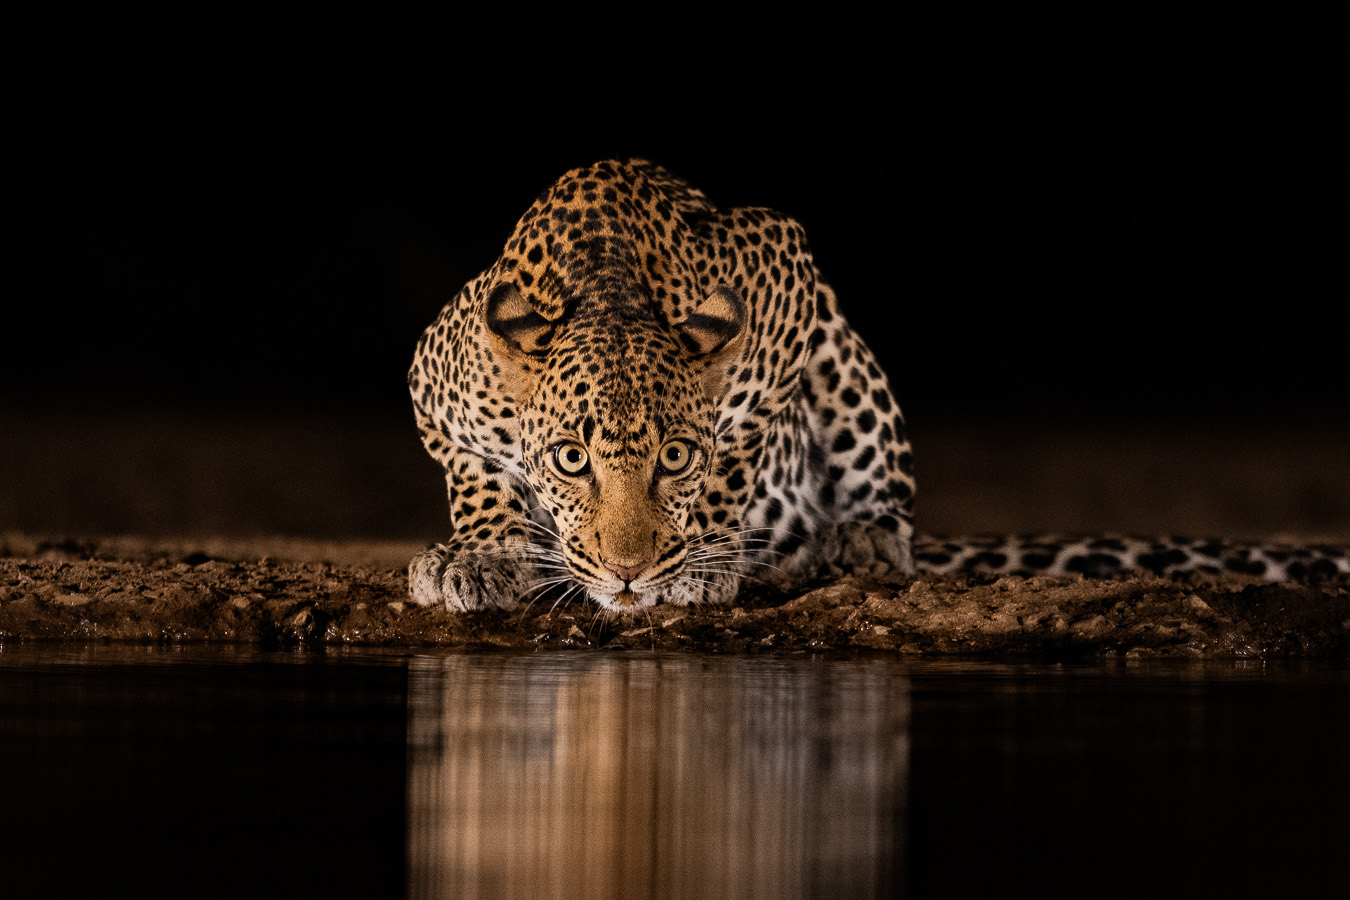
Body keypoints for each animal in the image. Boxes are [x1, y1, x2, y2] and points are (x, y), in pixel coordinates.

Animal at [407, 159, 1349, 615]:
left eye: (675, 459)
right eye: (570, 460)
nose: (628, 573)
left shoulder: (785, 280)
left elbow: (736, 458)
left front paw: (701, 559)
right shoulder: (436, 375)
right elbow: (477, 478)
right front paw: (483, 555)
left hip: (845, 356)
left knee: (881, 501)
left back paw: (852, 542)